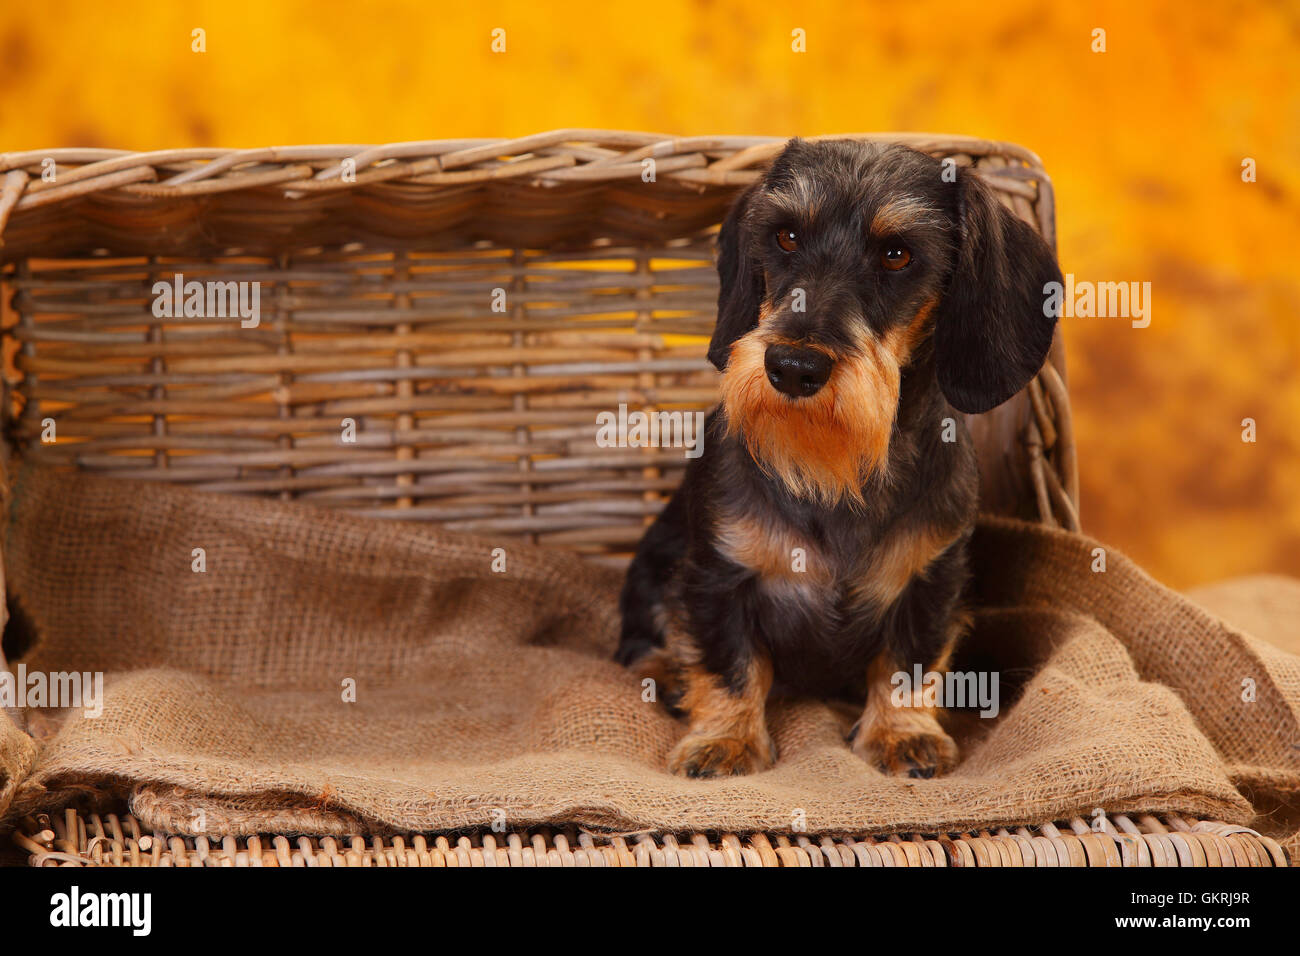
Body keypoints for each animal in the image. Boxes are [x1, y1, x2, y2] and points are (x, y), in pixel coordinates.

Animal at [616, 138, 1055, 780]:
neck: (831, 470)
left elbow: (908, 663)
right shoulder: (717, 575)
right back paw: (665, 676)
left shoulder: (930, 580)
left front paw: (903, 735)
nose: (793, 368)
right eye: (785, 236)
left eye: (897, 254)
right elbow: (728, 663)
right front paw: (725, 741)